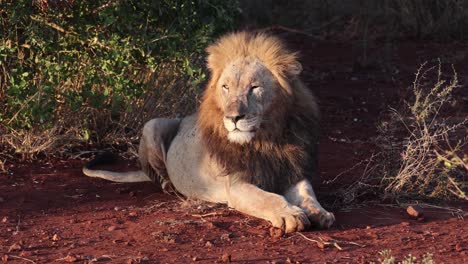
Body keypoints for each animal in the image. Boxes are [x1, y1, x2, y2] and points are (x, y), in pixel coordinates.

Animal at [82, 31, 334, 233]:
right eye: (226, 87)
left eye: (254, 87)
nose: (234, 118)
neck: (266, 139)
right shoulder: (236, 185)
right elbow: (268, 198)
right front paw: (290, 214)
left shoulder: (290, 170)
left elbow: (307, 193)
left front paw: (320, 212)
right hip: (152, 124)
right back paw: (169, 185)